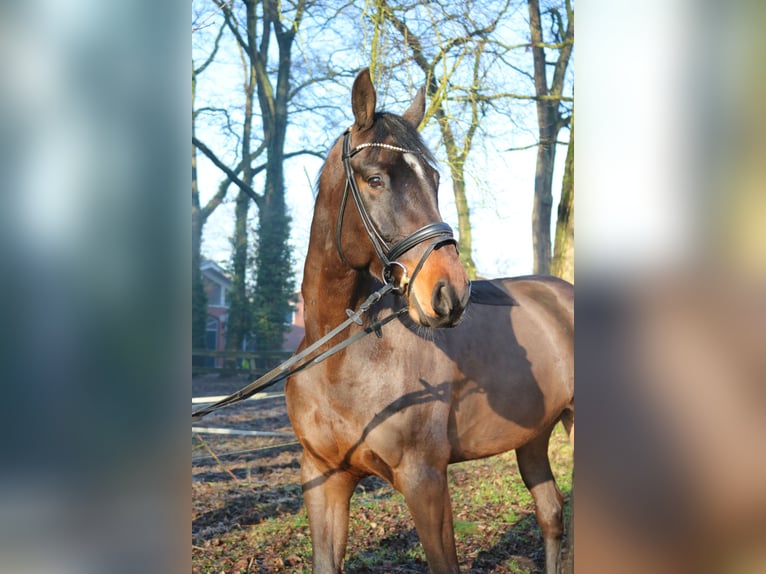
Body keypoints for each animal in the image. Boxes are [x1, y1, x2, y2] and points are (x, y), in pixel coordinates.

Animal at [284, 68, 572, 574]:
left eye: (435, 179)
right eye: (375, 178)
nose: (450, 293)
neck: (338, 359)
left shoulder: (425, 481)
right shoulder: (323, 477)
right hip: (534, 437)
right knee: (551, 514)